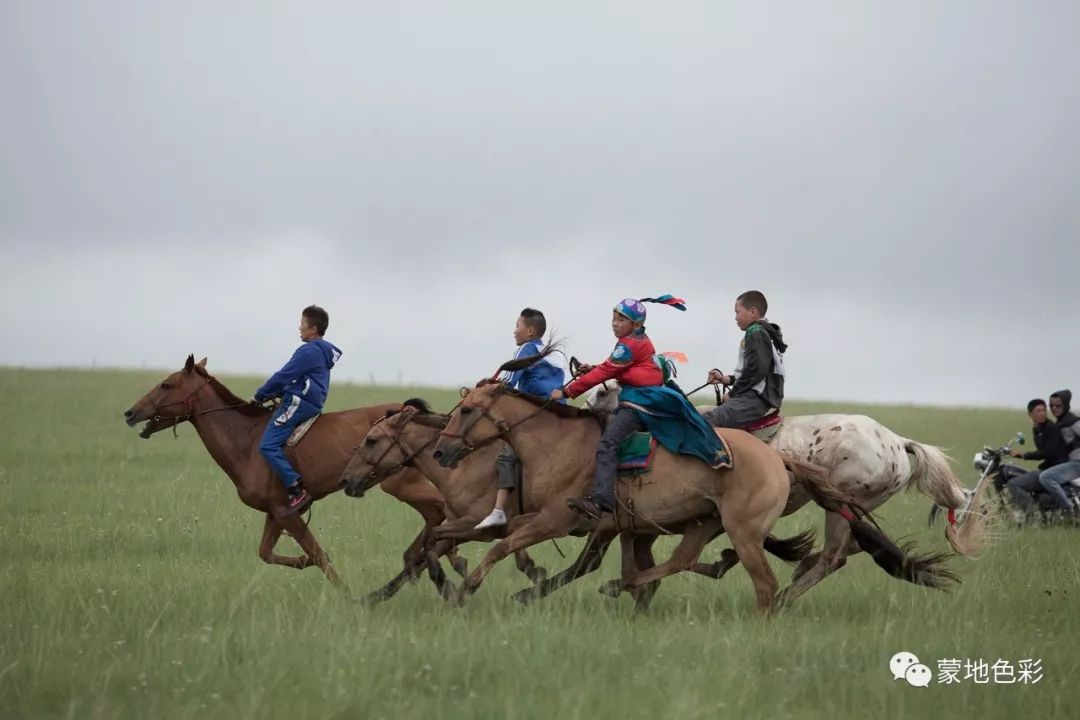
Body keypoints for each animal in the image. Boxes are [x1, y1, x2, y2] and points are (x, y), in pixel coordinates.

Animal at [124, 351, 462, 595]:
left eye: (166, 384)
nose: (130, 412)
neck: (246, 439)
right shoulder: (275, 513)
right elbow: (267, 552)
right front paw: (301, 561)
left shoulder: (288, 511)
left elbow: (319, 555)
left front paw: (345, 594)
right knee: (437, 514)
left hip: (403, 485)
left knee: (441, 510)